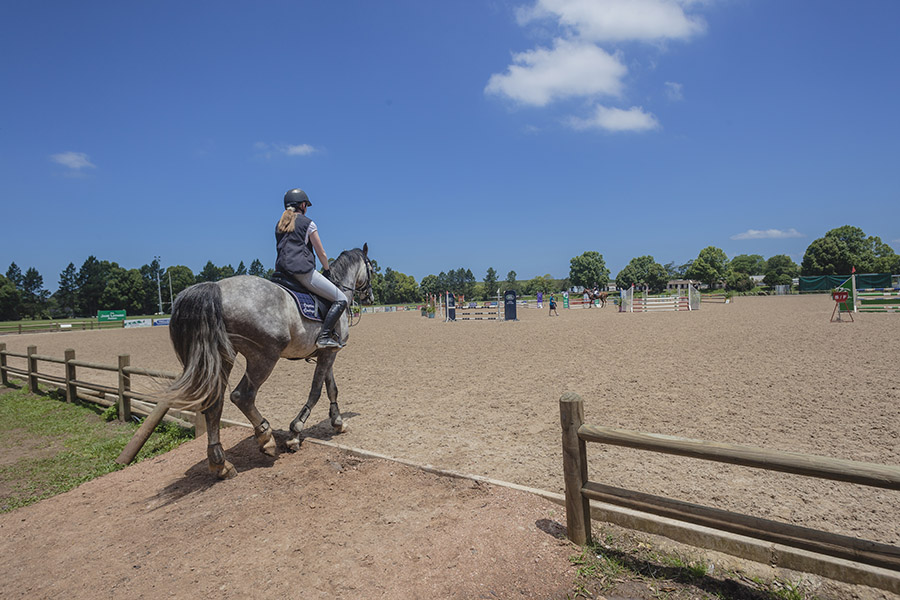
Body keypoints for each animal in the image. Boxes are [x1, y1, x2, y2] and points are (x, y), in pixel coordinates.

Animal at [165, 244, 374, 479]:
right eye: (372, 269)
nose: (370, 298)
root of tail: (217, 287)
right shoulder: (329, 354)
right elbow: (316, 391)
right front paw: (295, 432)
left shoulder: (326, 352)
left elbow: (331, 388)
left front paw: (338, 422)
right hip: (264, 356)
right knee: (242, 396)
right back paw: (266, 438)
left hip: (223, 357)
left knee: (214, 404)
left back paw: (221, 464)